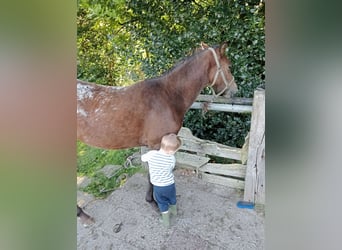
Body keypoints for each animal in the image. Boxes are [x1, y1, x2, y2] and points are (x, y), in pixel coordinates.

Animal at [77, 43, 238, 223]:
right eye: (229, 66)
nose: (235, 91)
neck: (167, 95)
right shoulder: (156, 145)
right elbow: (152, 174)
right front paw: (153, 202)